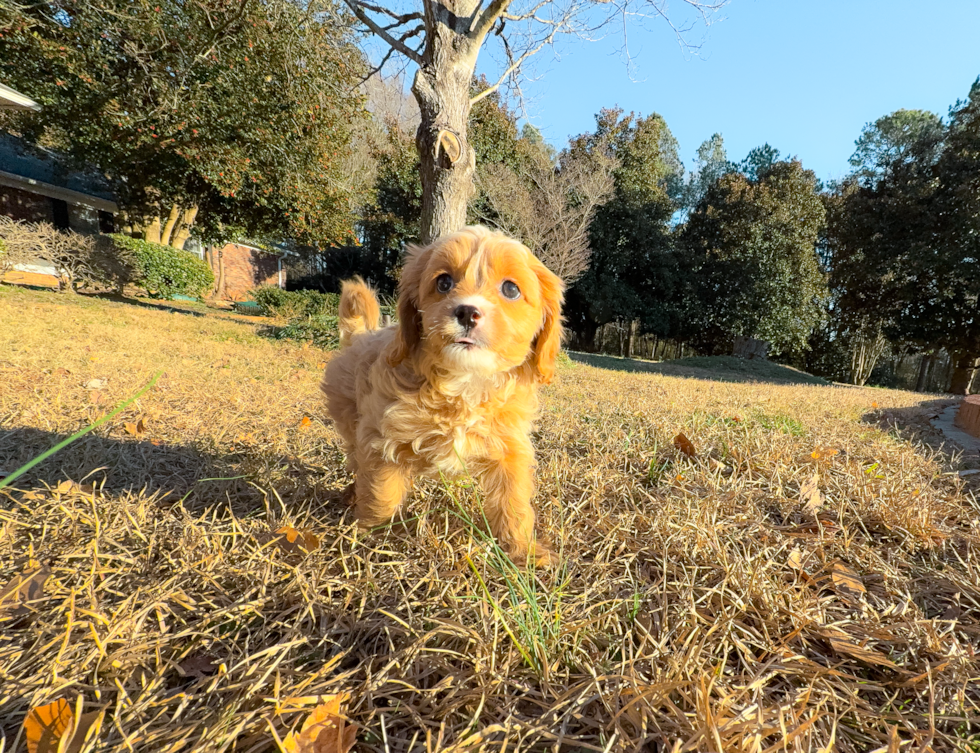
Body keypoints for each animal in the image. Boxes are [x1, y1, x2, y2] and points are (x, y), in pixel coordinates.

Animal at [322, 225, 564, 564]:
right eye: (443, 282)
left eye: (511, 289)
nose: (467, 311)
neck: (464, 384)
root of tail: (361, 336)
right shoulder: (381, 437)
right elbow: (381, 491)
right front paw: (370, 532)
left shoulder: (510, 447)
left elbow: (513, 502)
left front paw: (524, 552)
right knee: (355, 458)